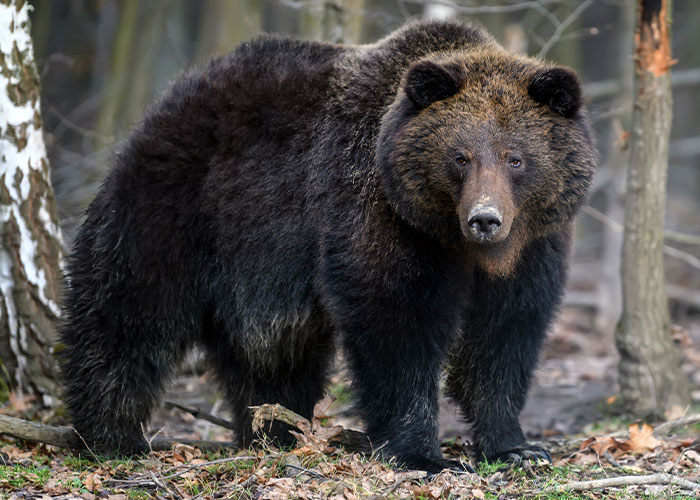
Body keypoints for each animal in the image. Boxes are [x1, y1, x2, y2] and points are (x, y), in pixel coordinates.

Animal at [60, 19, 596, 472]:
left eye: (515, 158)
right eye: (460, 157)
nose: (485, 218)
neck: (458, 243)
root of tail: (171, 96)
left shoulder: (532, 247)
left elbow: (504, 336)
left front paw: (517, 448)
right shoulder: (381, 217)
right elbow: (397, 321)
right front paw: (423, 454)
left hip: (257, 274)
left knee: (274, 355)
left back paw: (273, 432)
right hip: (177, 212)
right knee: (126, 316)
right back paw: (110, 437)